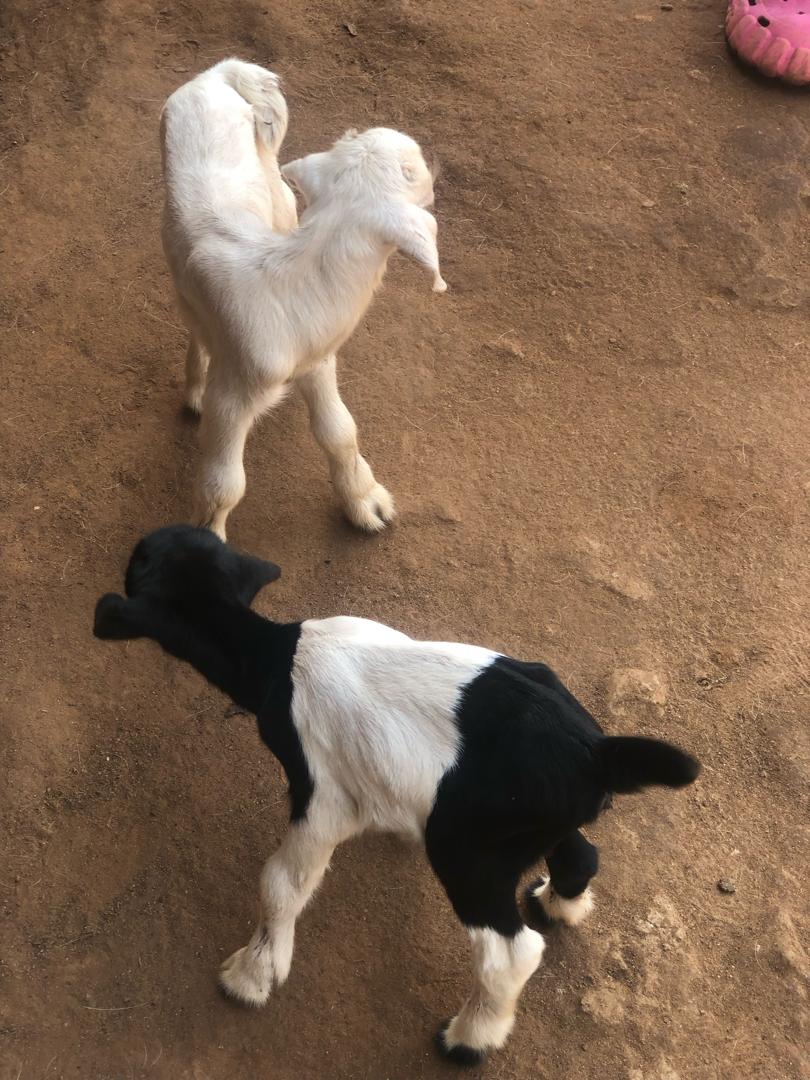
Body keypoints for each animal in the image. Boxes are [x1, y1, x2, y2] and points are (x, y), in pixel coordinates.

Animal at [94, 525, 700, 1065]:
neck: (279, 657)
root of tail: (595, 753)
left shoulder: (322, 794)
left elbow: (282, 884)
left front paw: (252, 975)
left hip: (468, 852)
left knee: (509, 952)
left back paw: (469, 1041)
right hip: (530, 827)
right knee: (581, 855)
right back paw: (560, 903)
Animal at [160, 59, 446, 539]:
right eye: (412, 171)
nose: (437, 169)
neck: (291, 279)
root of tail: (217, 73)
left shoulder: (317, 356)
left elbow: (340, 431)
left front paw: (365, 502)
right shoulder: (234, 395)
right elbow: (223, 485)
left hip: (279, 193)